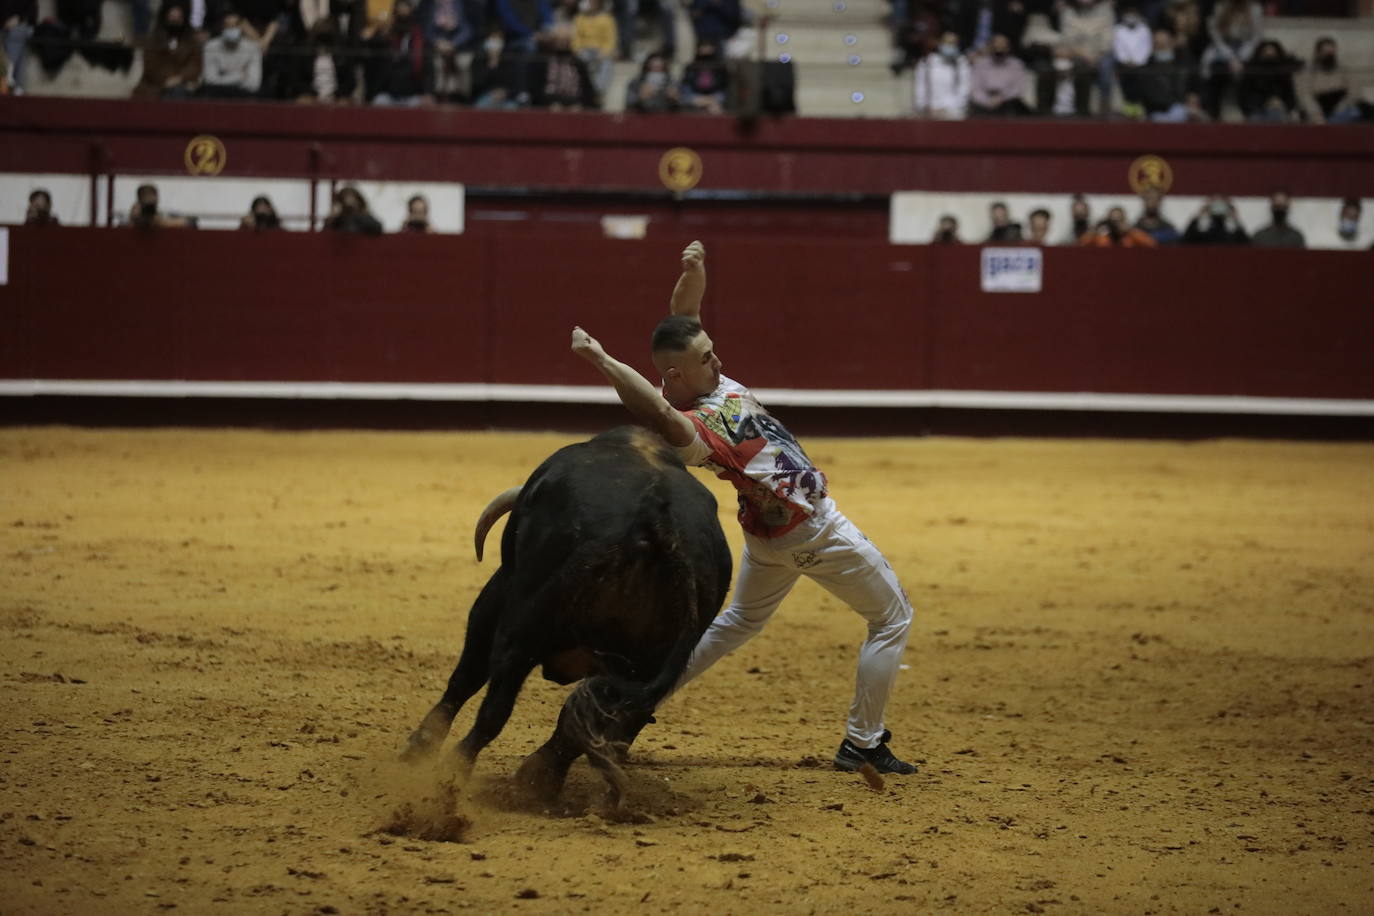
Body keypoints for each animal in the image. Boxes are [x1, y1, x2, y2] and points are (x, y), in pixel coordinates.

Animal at [401, 425, 736, 807]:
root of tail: (659, 520)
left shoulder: (500, 588)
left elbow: (467, 676)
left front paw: (418, 749)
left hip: (523, 626)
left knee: (495, 704)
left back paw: (451, 779)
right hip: (648, 664)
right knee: (610, 716)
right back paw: (538, 780)